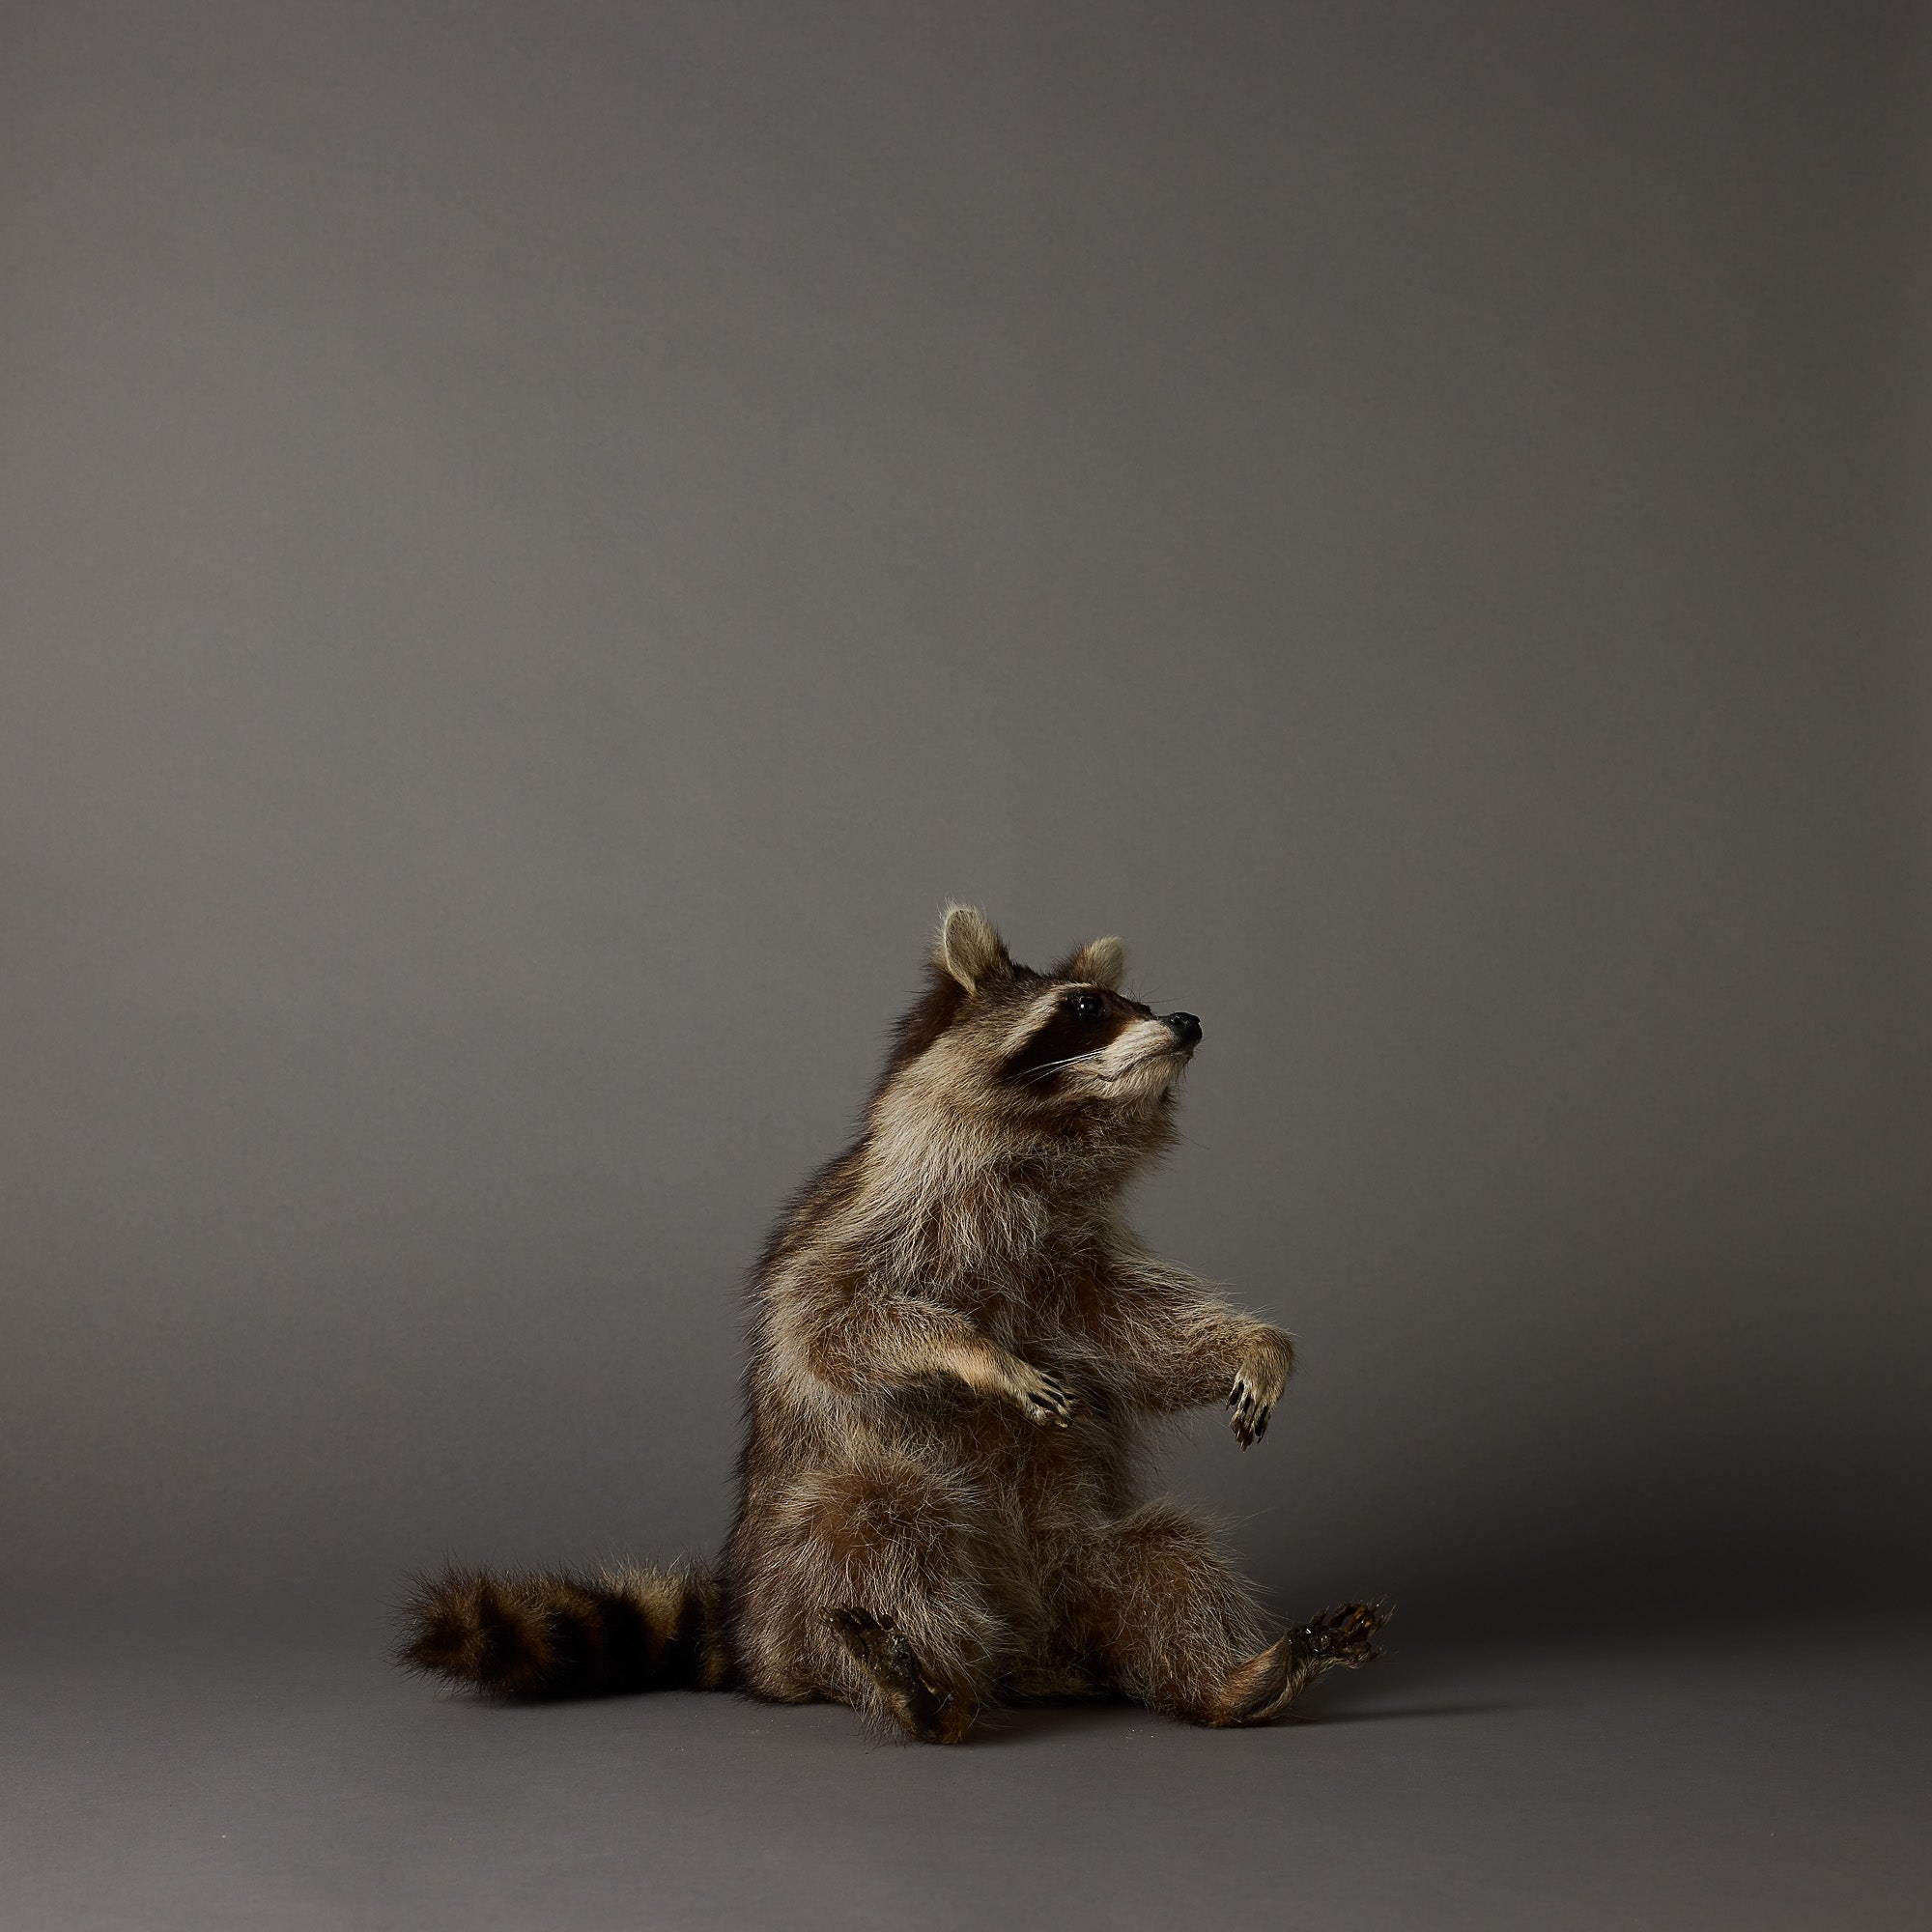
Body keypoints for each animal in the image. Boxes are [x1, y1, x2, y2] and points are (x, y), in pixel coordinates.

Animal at [400, 906, 1387, 1741]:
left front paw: (1256, 1345)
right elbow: (834, 1321)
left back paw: (1234, 1681)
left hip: (1083, 1565)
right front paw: (973, 1350)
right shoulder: (864, 1222)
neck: (1047, 1151)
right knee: (877, 1522)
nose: (1185, 1021)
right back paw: (929, 1692)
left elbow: (1138, 1334)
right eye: (1084, 1006)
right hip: (815, 1569)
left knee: (1161, 1557)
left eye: (1135, 1001)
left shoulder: (1071, 1268)